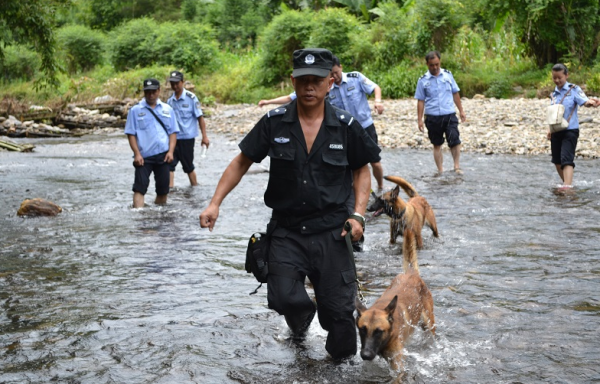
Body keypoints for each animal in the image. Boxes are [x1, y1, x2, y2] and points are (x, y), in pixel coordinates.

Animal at [356, 232, 436, 374]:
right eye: (362, 329)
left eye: (378, 331)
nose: (365, 355)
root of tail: (411, 273)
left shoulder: (398, 365)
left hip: (428, 324)